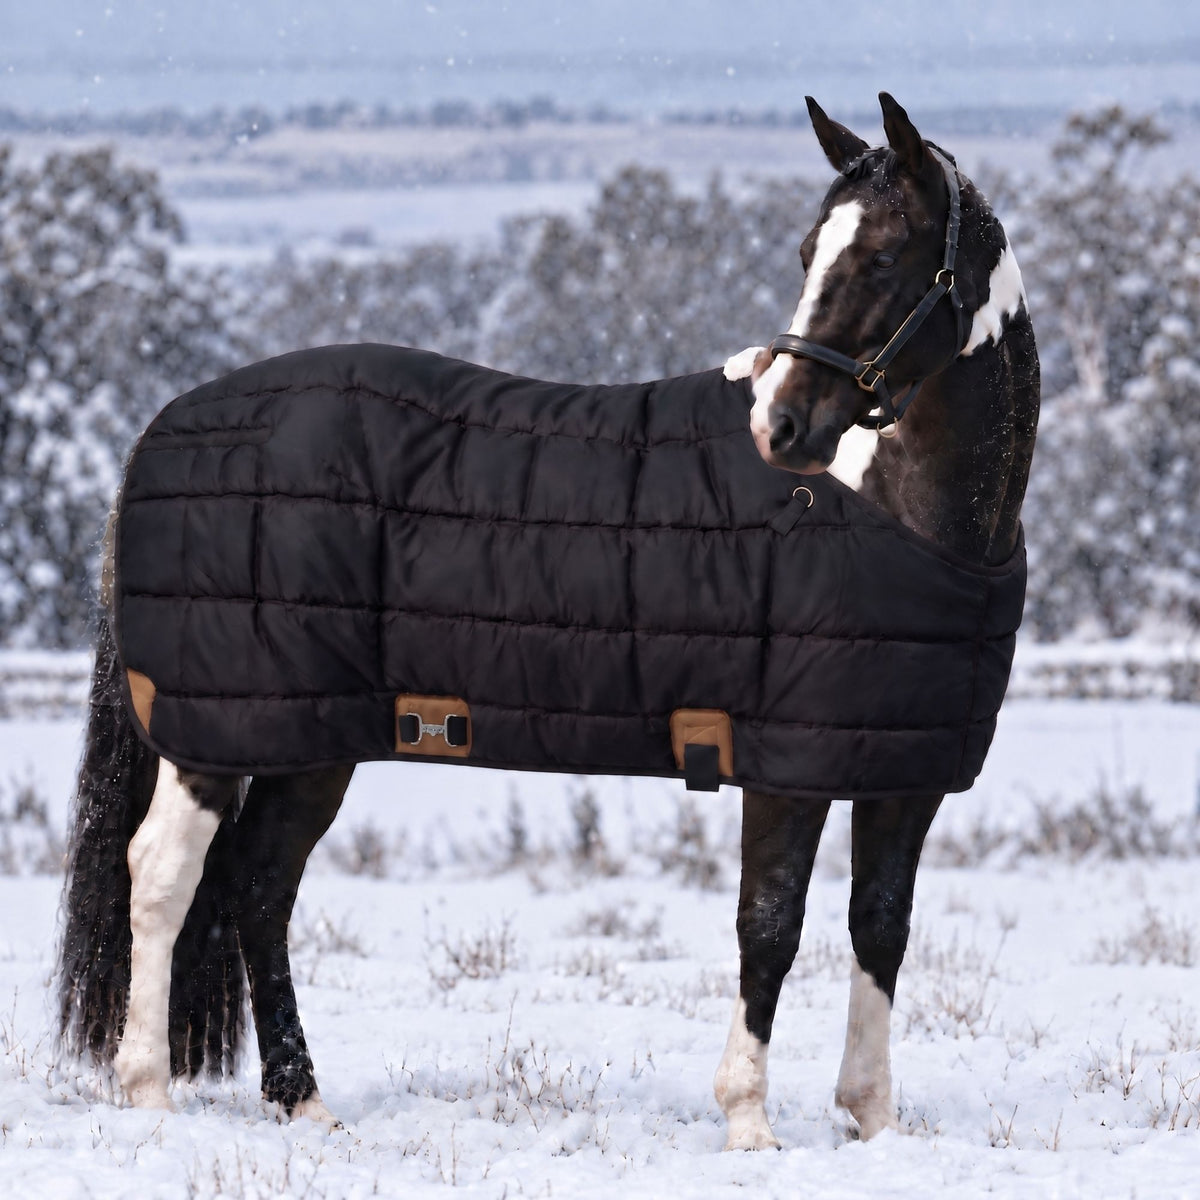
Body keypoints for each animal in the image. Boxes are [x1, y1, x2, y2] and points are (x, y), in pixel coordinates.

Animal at [56, 93, 1038, 1148]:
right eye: (813, 251)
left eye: (884, 259)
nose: (779, 429)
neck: (889, 509)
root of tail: (164, 430)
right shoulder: (789, 765)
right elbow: (769, 926)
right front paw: (749, 1124)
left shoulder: (903, 771)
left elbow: (879, 928)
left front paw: (872, 1119)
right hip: (219, 732)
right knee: (163, 874)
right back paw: (150, 1094)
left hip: (310, 741)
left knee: (258, 883)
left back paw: (302, 1101)